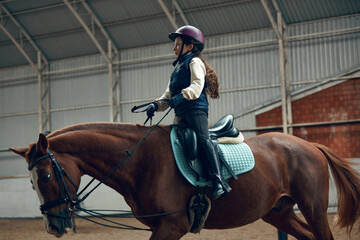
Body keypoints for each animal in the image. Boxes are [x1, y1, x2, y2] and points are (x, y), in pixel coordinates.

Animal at [9, 123, 358, 239]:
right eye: (31, 183)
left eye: (45, 175)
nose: (53, 227)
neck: (142, 160)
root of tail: (309, 145)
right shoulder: (163, 226)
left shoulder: (171, 226)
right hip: (279, 212)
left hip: (312, 209)